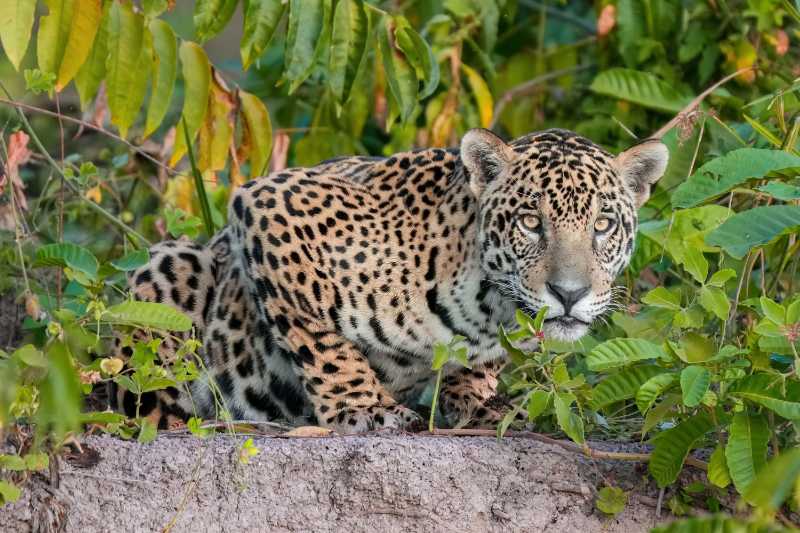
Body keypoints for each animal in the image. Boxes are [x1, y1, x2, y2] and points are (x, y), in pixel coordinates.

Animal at [110, 128, 668, 434]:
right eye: (531, 222)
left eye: (603, 225)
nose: (569, 294)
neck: (487, 304)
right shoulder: (271, 203)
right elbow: (320, 340)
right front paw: (364, 408)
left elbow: (480, 368)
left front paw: (478, 399)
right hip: (169, 265)